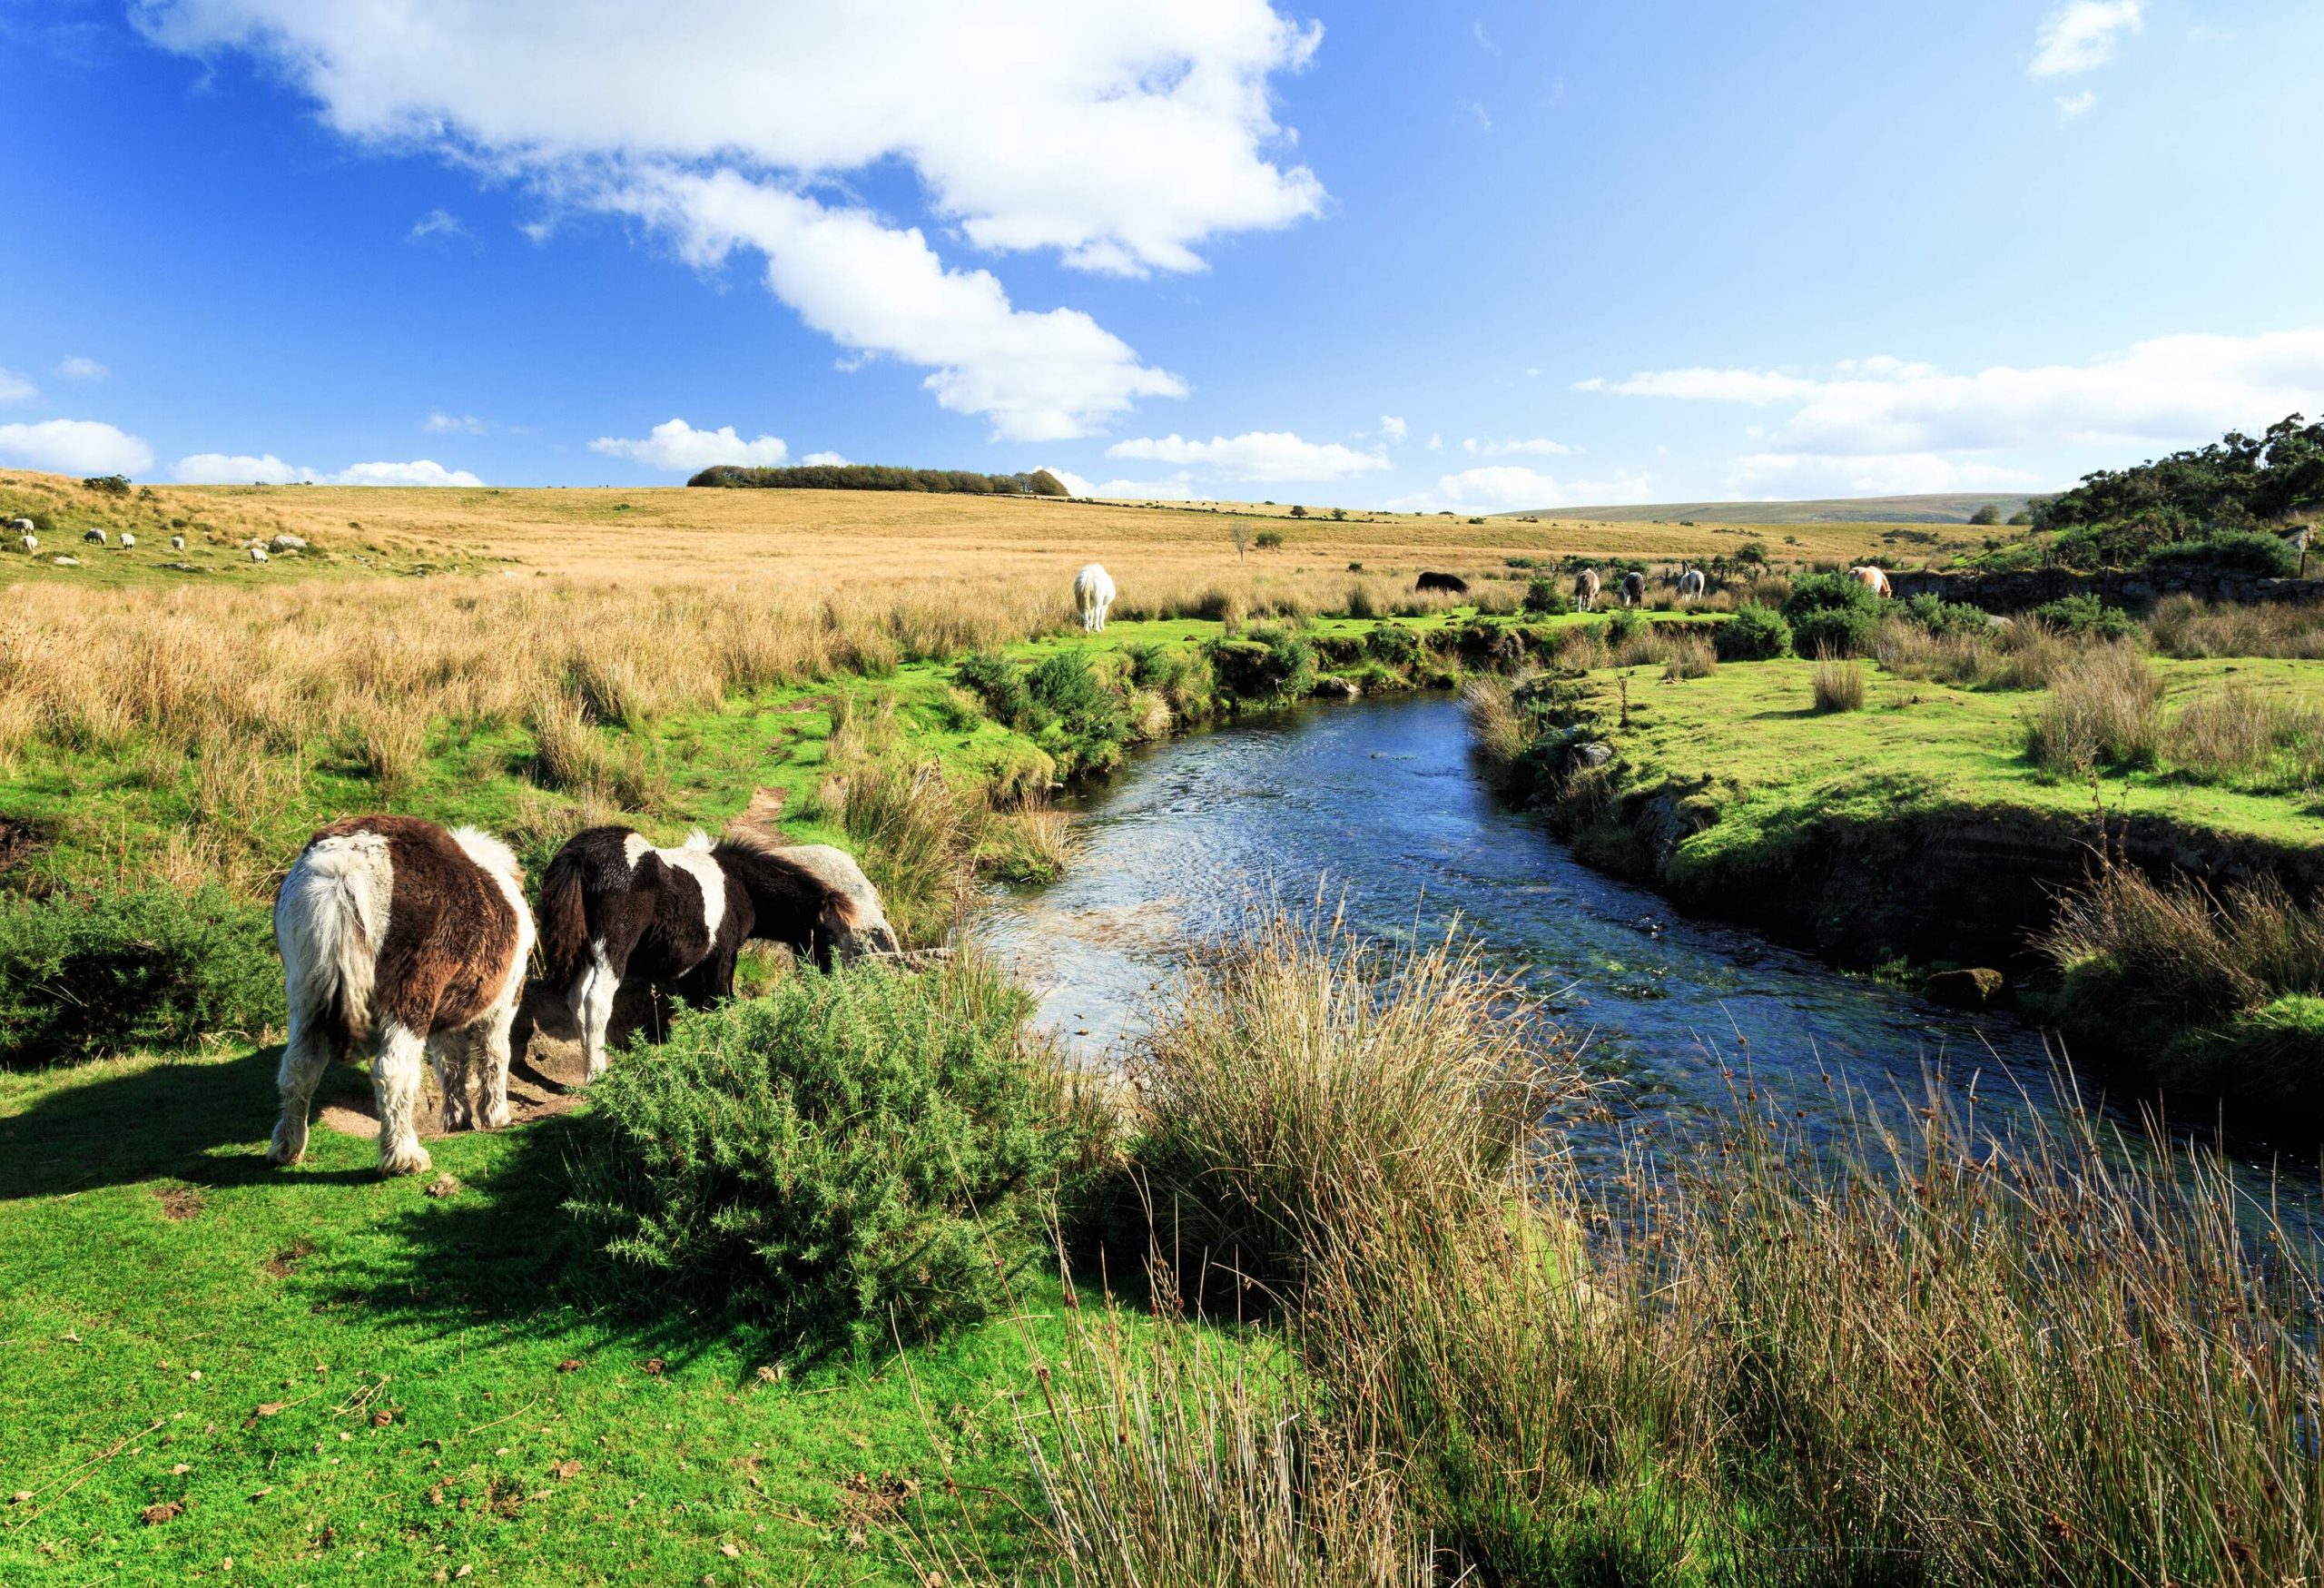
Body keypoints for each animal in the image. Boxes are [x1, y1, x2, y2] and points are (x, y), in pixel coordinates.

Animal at [538, 832, 901, 1079]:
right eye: (829, 934)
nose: (831, 977)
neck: (741, 885)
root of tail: (581, 855)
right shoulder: (723, 956)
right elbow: (721, 1002)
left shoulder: (694, 967)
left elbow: (697, 1006)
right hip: (612, 949)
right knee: (596, 1001)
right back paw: (597, 1075)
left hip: (586, 952)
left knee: (576, 1000)